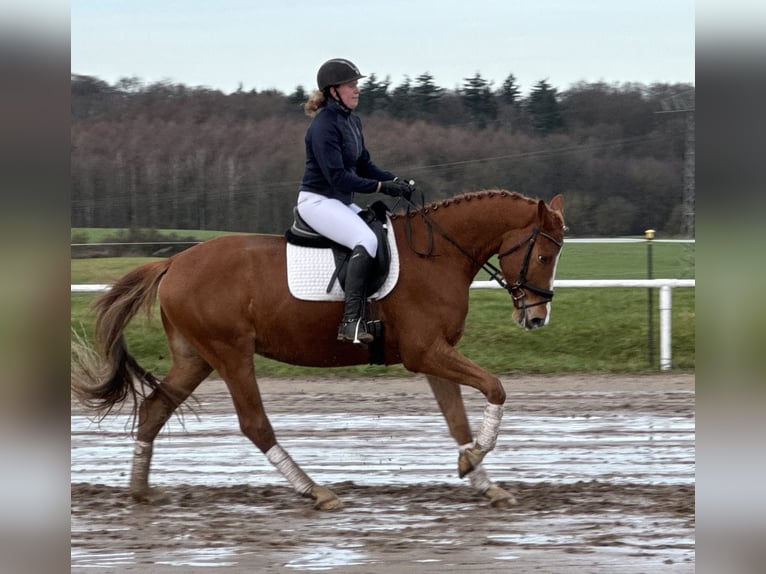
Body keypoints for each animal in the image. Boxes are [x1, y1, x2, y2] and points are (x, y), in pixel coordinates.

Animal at [73, 191, 564, 510]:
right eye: (543, 256)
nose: (537, 318)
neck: (437, 254)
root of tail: (174, 260)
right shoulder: (424, 352)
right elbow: (495, 387)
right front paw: (476, 459)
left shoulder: (435, 354)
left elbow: (456, 419)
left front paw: (479, 476)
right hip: (230, 353)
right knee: (254, 425)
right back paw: (315, 491)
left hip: (195, 358)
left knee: (154, 409)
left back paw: (140, 493)